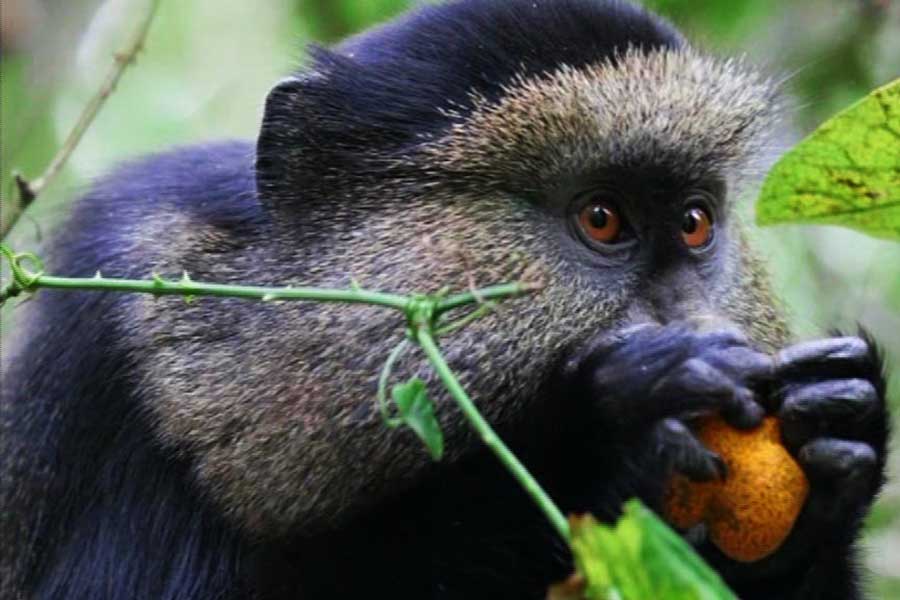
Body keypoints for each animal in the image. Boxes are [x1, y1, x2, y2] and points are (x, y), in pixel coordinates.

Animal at [0, 0, 890, 598]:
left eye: (695, 223)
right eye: (602, 219)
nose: (697, 325)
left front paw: (839, 435)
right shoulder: (124, 366)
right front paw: (599, 430)